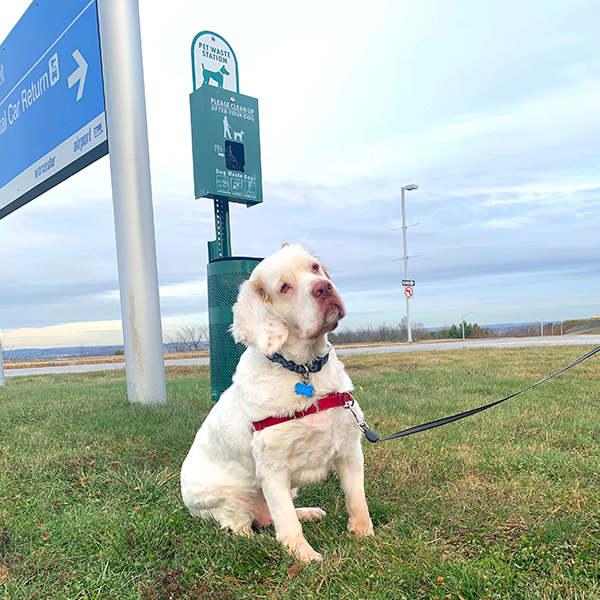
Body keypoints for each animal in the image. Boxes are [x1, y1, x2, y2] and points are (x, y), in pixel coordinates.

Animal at [180, 241, 372, 560]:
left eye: (314, 268)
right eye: (284, 287)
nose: (324, 288)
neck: (305, 369)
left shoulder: (349, 449)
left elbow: (357, 498)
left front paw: (364, 535)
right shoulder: (272, 468)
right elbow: (286, 521)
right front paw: (304, 556)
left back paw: (308, 512)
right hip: (228, 500)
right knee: (242, 528)